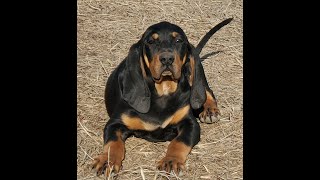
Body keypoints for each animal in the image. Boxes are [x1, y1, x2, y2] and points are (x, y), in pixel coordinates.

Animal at [92, 17, 232, 177]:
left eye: (178, 40)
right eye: (150, 41)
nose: (167, 59)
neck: (163, 89)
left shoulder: (190, 124)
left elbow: (179, 142)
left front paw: (171, 160)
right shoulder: (114, 123)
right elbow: (113, 143)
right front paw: (107, 161)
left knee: (204, 90)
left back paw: (209, 110)